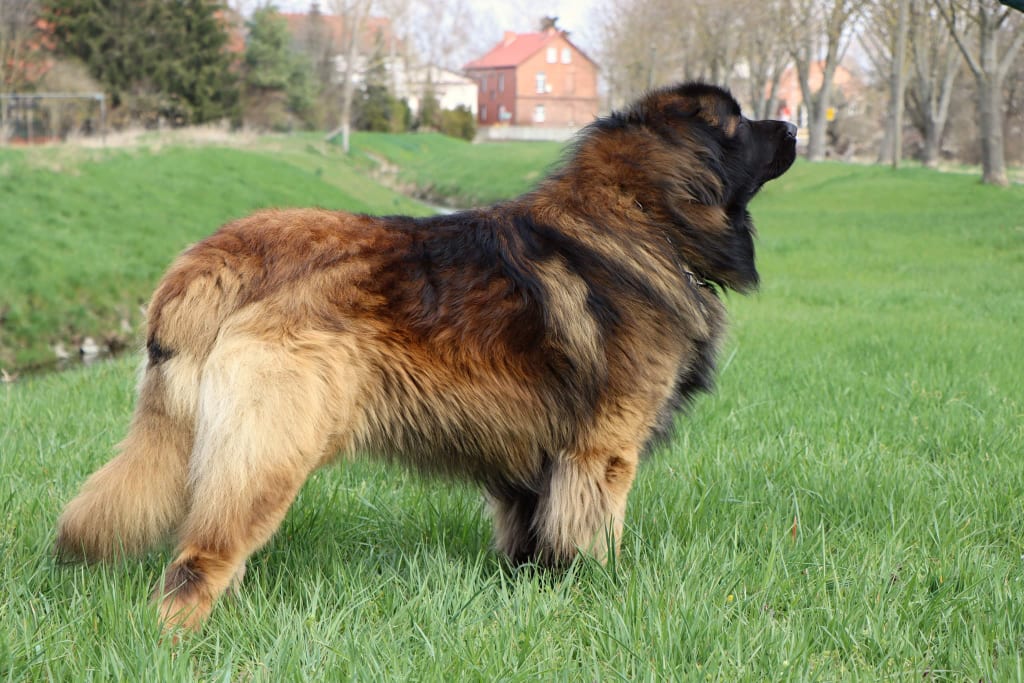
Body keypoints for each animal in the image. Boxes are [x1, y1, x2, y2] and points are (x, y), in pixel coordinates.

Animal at [56, 82, 798, 634]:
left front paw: (536, 592)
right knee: (197, 560)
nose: (792, 125)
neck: (643, 218)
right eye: (737, 124)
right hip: (270, 449)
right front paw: (602, 593)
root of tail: (221, 253)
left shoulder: (534, 463)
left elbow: (532, 537)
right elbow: (595, 535)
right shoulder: (603, 453)